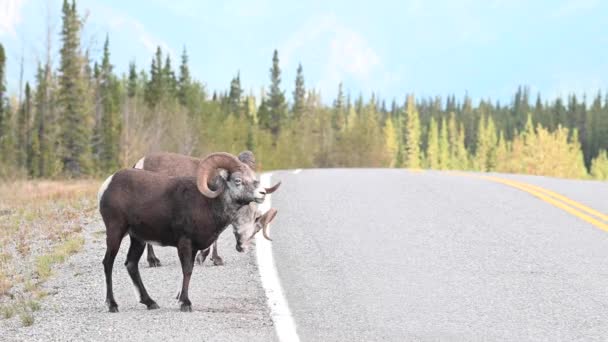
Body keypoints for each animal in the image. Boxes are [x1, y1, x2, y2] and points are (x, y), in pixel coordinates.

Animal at [133, 150, 268, 268]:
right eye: (238, 180)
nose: (262, 193)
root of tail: (139, 164)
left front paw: (215, 259)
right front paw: (202, 258)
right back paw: (153, 261)